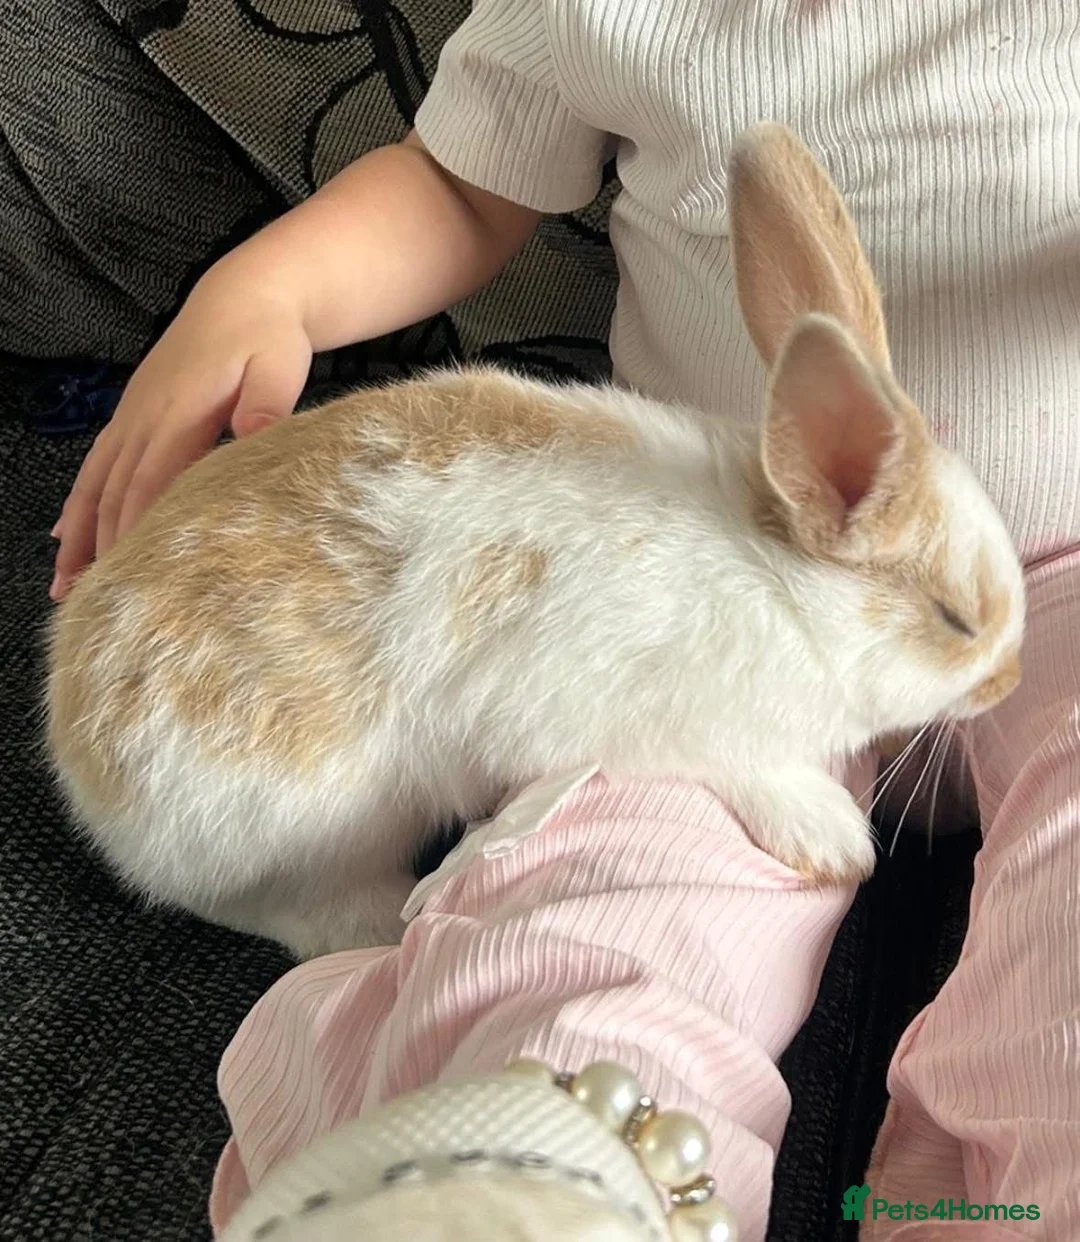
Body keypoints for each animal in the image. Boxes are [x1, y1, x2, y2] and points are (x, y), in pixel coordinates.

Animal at [46, 124, 1025, 960]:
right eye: (955, 619)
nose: (1010, 684)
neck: (784, 589)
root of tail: (76, 751)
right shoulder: (629, 713)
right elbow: (738, 764)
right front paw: (832, 839)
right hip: (302, 824)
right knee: (282, 904)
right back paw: (377, 931)